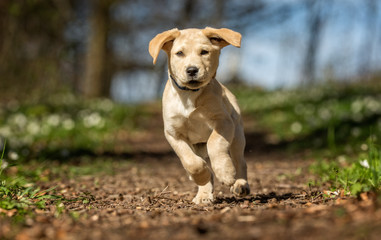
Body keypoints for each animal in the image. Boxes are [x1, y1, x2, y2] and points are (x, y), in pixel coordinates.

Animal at [148, 27, 249, 203]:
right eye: (179, 53)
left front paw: (225, 172)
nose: (192, 70)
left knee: (240, 162)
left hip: (237, 135)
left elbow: (215, 143)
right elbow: (191, 162)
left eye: (204, 52)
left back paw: (240, 184)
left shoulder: (223, 122)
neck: (189, 95)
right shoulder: (173, 133)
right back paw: (203, 195)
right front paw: (202, 177)